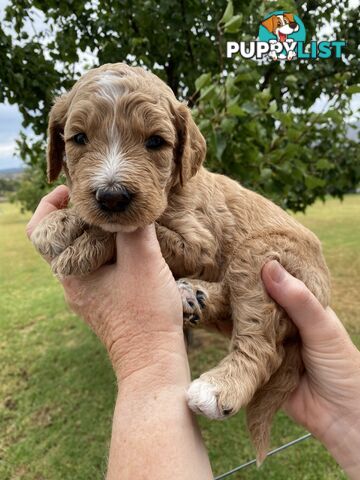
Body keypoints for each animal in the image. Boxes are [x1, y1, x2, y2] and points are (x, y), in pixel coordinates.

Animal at [31, 62, 330, 464]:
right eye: (78, 138)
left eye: (156, 142)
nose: (112, 196)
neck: (173, 187)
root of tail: (324, 294)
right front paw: (60, 223)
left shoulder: (198, 243)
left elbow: (139, 228)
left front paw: (74, 238)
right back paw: (192, 296)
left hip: (259, 254)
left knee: (263, 342)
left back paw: (218, 387)